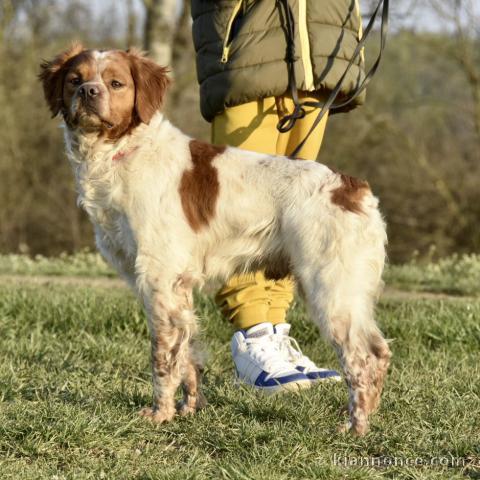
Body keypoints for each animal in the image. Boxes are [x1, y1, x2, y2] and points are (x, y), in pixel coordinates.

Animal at [37, 45, 390, 436]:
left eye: (115, 83)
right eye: (75, 80)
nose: (88, 92)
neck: (120, 151)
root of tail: (352, 188)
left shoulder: (159, 277)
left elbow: (164, 357)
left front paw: (160, 413)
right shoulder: (174, 286)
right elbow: (188, 354)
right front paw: (190, 408)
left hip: (330, 289)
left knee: (364, 357)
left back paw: (356, 427)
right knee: (379, 352)